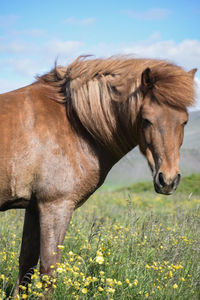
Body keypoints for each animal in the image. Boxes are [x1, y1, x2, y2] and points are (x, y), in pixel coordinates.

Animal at [0, 55, 197, 290]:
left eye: (184, 121)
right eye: (147, 119)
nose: (167, 180)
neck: (75, 124)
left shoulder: (33, 207)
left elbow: (26, 265)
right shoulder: (55, 206)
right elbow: (48, 270)